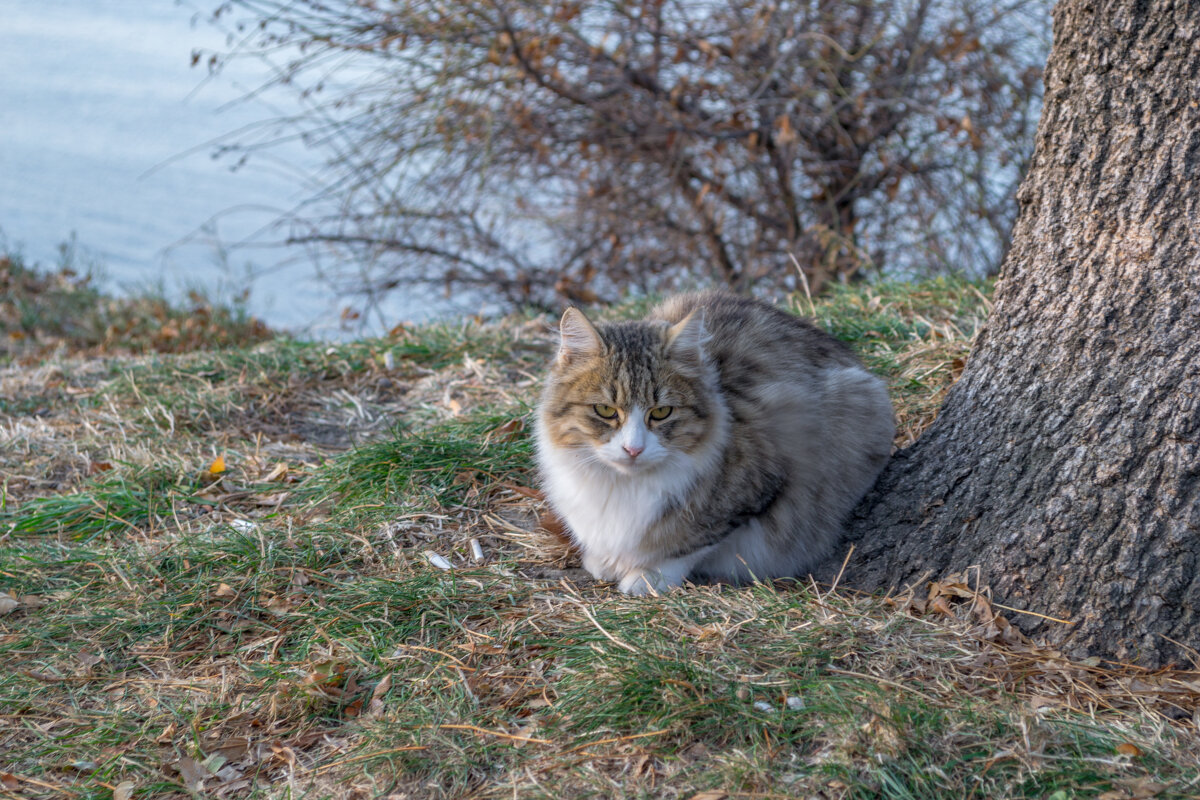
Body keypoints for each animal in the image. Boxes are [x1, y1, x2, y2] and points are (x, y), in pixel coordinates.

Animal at [535, 289, 892, 594]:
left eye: (661, 412)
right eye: (606, 410)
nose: (633, 449)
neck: (624, 487)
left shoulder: (757, 488)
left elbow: (689, 544)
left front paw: (649, 576)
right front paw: (604, 561)